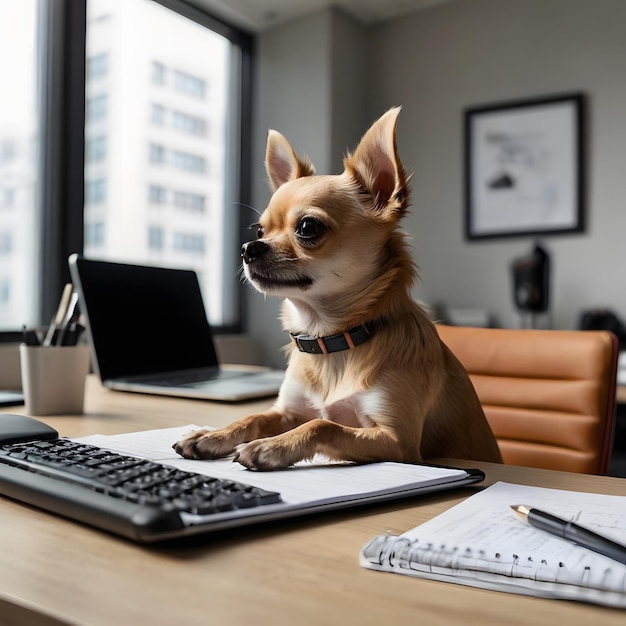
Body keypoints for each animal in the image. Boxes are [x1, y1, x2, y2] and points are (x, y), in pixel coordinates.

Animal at [173, 107, 500, 468]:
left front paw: (271, 446)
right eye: (259, 230)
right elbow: (253, 417)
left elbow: (323, 424)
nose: (248, 248)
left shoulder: (399, 443)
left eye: (307, 227)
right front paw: (212, 435)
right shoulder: (287, 412)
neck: (331, 339)